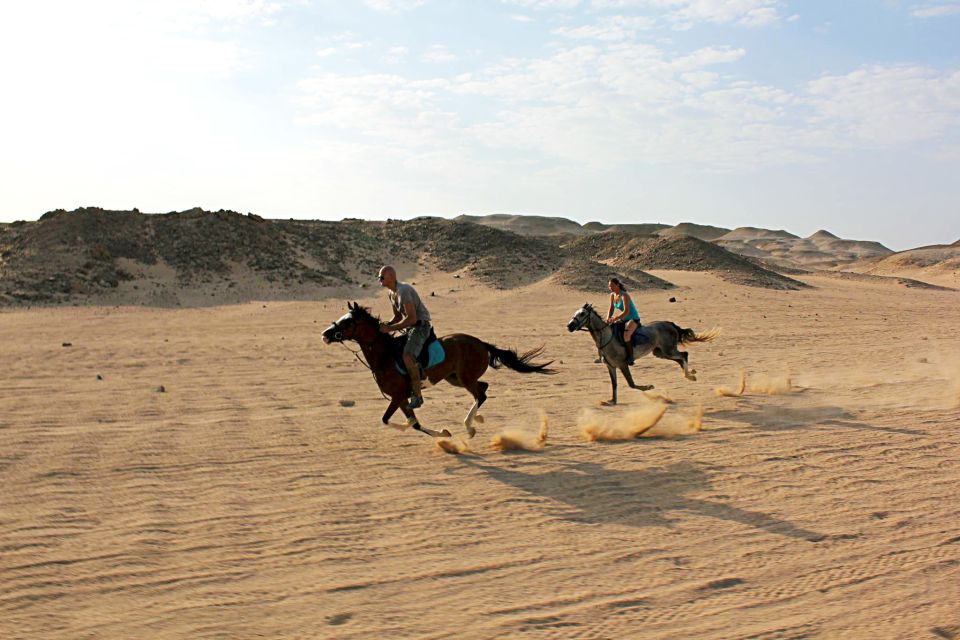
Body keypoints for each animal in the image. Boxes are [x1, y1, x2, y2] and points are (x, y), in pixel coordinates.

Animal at [322, 302, 556, 438]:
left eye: (348, 322)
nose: (325, 334)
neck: (384, 355)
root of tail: (480, 343)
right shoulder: (402, 398)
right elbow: (412, 423)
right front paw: (442, 433)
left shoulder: (398, 396)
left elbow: (390, 420)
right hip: (455, 378)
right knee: (484, 388)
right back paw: (477, 419)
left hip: (465, 378)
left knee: (480, 394)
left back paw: (469, 426)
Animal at [568, 304, 716, 404]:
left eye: (582, 314)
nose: (569, 326)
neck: (607, 337)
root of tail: (671, 324)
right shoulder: (611, 366)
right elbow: (614, 384)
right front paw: (612, 401)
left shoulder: (622, 364)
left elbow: (631, 384)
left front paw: (649, 387)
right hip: (660, 352)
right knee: (681, 358)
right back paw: (690, 374)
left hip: (668, 350)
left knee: (684, 355)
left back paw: (689, 375)